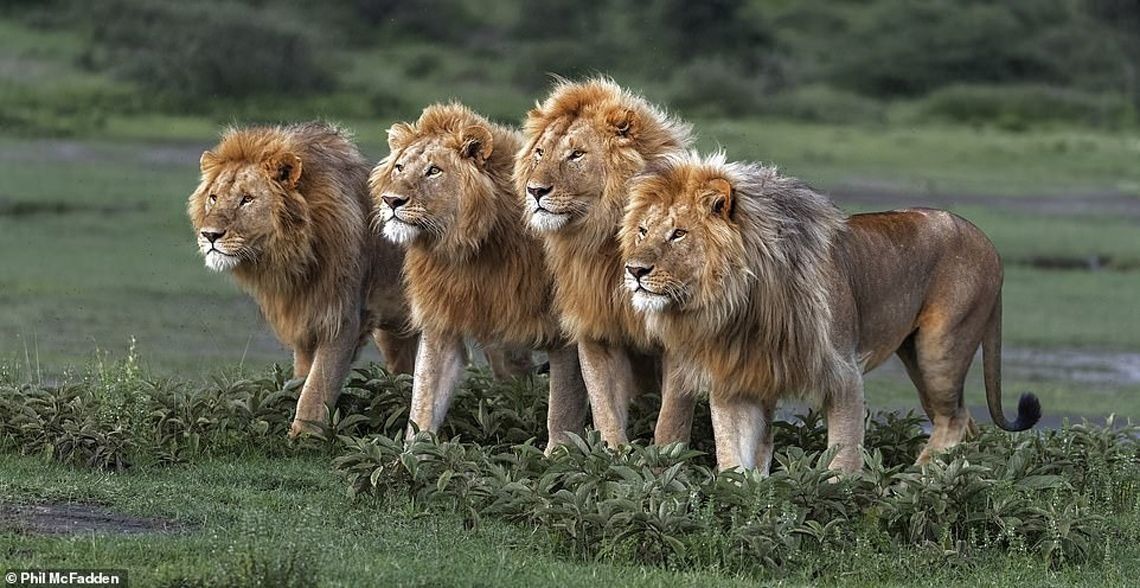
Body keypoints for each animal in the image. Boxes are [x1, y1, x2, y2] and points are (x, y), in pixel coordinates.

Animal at [186, 123, 419, 435]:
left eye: (247, 199)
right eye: (213, 197)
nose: (209, 235)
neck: (293, 257)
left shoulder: (342, 318)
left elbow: (317, 386)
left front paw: (303, 436)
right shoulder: (303, 317)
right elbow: (302, 379)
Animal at [371, 103, 592, 448]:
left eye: (433, 171)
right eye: (399, 168)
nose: (391, 201)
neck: (469, 250)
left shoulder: (568, 333)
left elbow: (563, 405)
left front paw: (559, 453)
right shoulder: (442, 321)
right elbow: (424, 398)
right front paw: (412, 454)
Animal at [515, 76, 693, 446]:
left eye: (576, 154)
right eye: (540, 153)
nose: (534, 191)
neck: (604, 240)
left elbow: (672, 417)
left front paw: (666, 457)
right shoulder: (597, 328)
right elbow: (604, 406)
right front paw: (612, 454)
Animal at [624, 152, 1044, 474]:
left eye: (678, 233)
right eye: (643, 231)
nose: (633, 270)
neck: (738, 304)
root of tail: (988, 242)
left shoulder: (842, 372)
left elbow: (843, 455)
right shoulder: (736, 380)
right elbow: (734, 456)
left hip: (940, 350)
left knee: (953, 420)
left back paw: (915, 482)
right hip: (918, 358)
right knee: (963, 420)